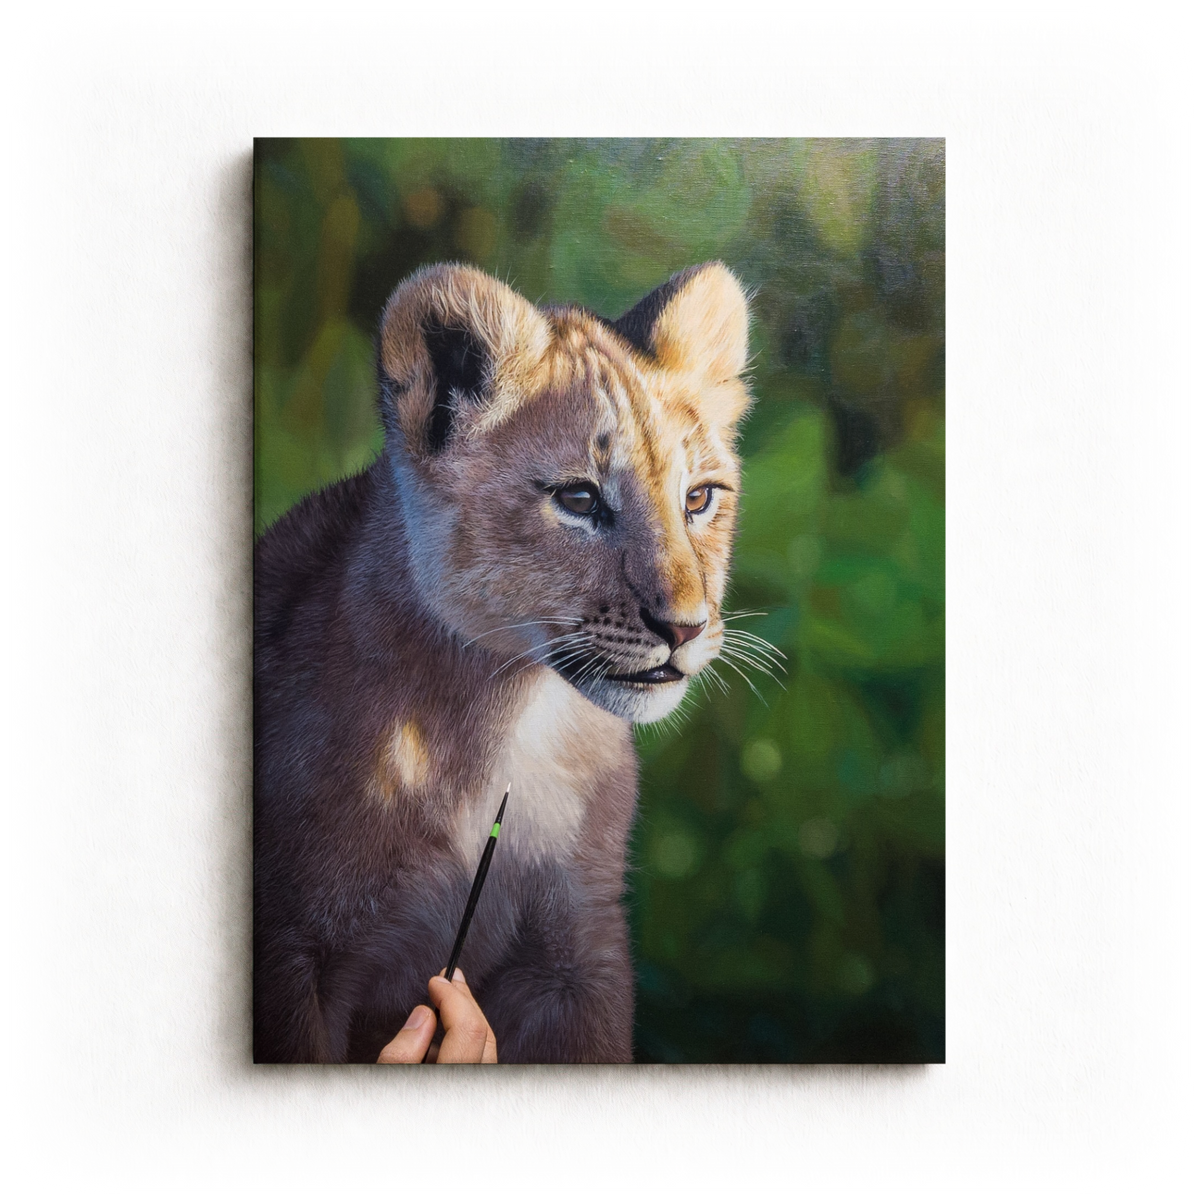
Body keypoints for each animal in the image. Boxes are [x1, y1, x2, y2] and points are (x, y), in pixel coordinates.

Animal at [253, 261, 752, 1062]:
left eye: (700, 498)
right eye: (578, 498)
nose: (684, 627)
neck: (510, 718)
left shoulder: (579, 953)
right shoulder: (291, 951)